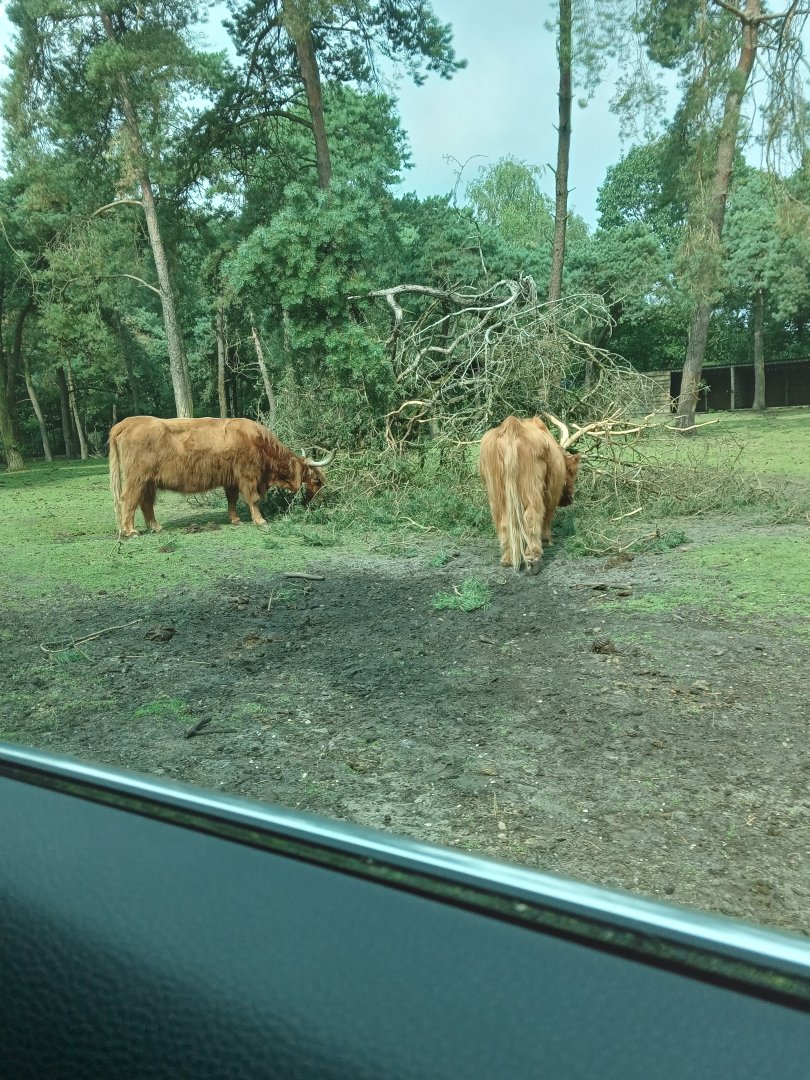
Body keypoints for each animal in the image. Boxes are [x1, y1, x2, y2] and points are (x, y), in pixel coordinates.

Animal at [108, 415, 334, 537]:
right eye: (317, 481)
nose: (321, 501)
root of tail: (127, 423)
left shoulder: (231, 478)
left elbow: (232, 499)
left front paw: (235, 519)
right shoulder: (247, 474)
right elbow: (253, 498)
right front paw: (260, 521)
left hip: (149, 481)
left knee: (146, 503)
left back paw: (156, 527)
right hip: (136, 478)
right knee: (129, 500)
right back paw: (130, 531)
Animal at [478, 415, 581, 574]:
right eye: (572, 472)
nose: (569, 499)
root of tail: (512, 425)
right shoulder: (551, 493)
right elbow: (547, 516)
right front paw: (547, 541)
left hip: (496, 492)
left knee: (503, 521)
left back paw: (508, 558)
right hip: (531, 485)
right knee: (533, 515)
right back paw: (533, 560)